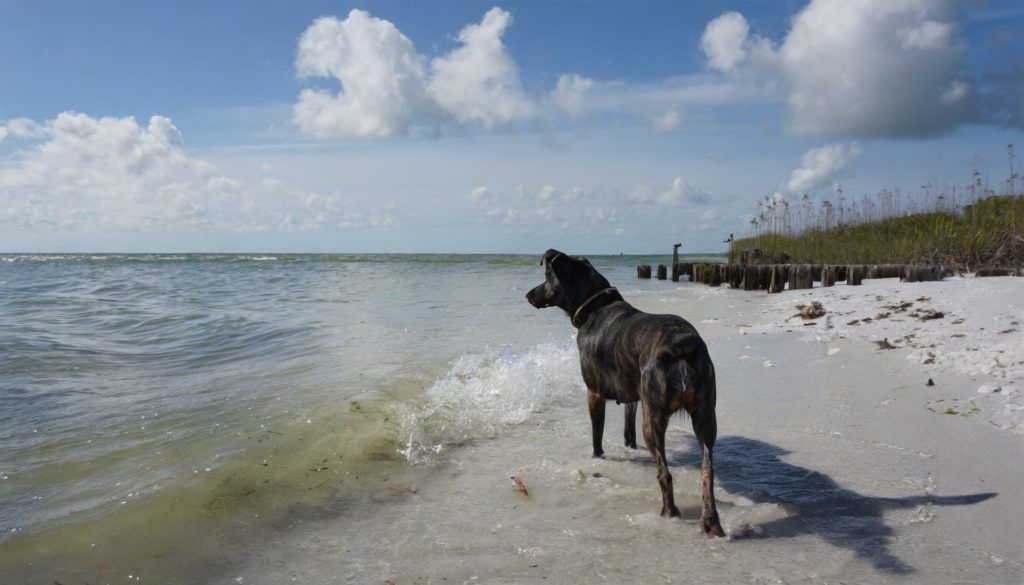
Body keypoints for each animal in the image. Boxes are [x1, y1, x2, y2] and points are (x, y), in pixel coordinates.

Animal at [528, 249, 729, 536]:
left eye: (546, 277)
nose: (528, 295)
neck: (595, 307)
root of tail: (681, 346)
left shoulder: (594, 392)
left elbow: (597, 433)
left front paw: (597, 457)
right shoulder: (634, 396)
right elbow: (627, 427)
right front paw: (629, 447)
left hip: (654, 414)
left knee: (664, 472)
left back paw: (669, 512)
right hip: (704, 414)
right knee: (707, 471)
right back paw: (710, 521)